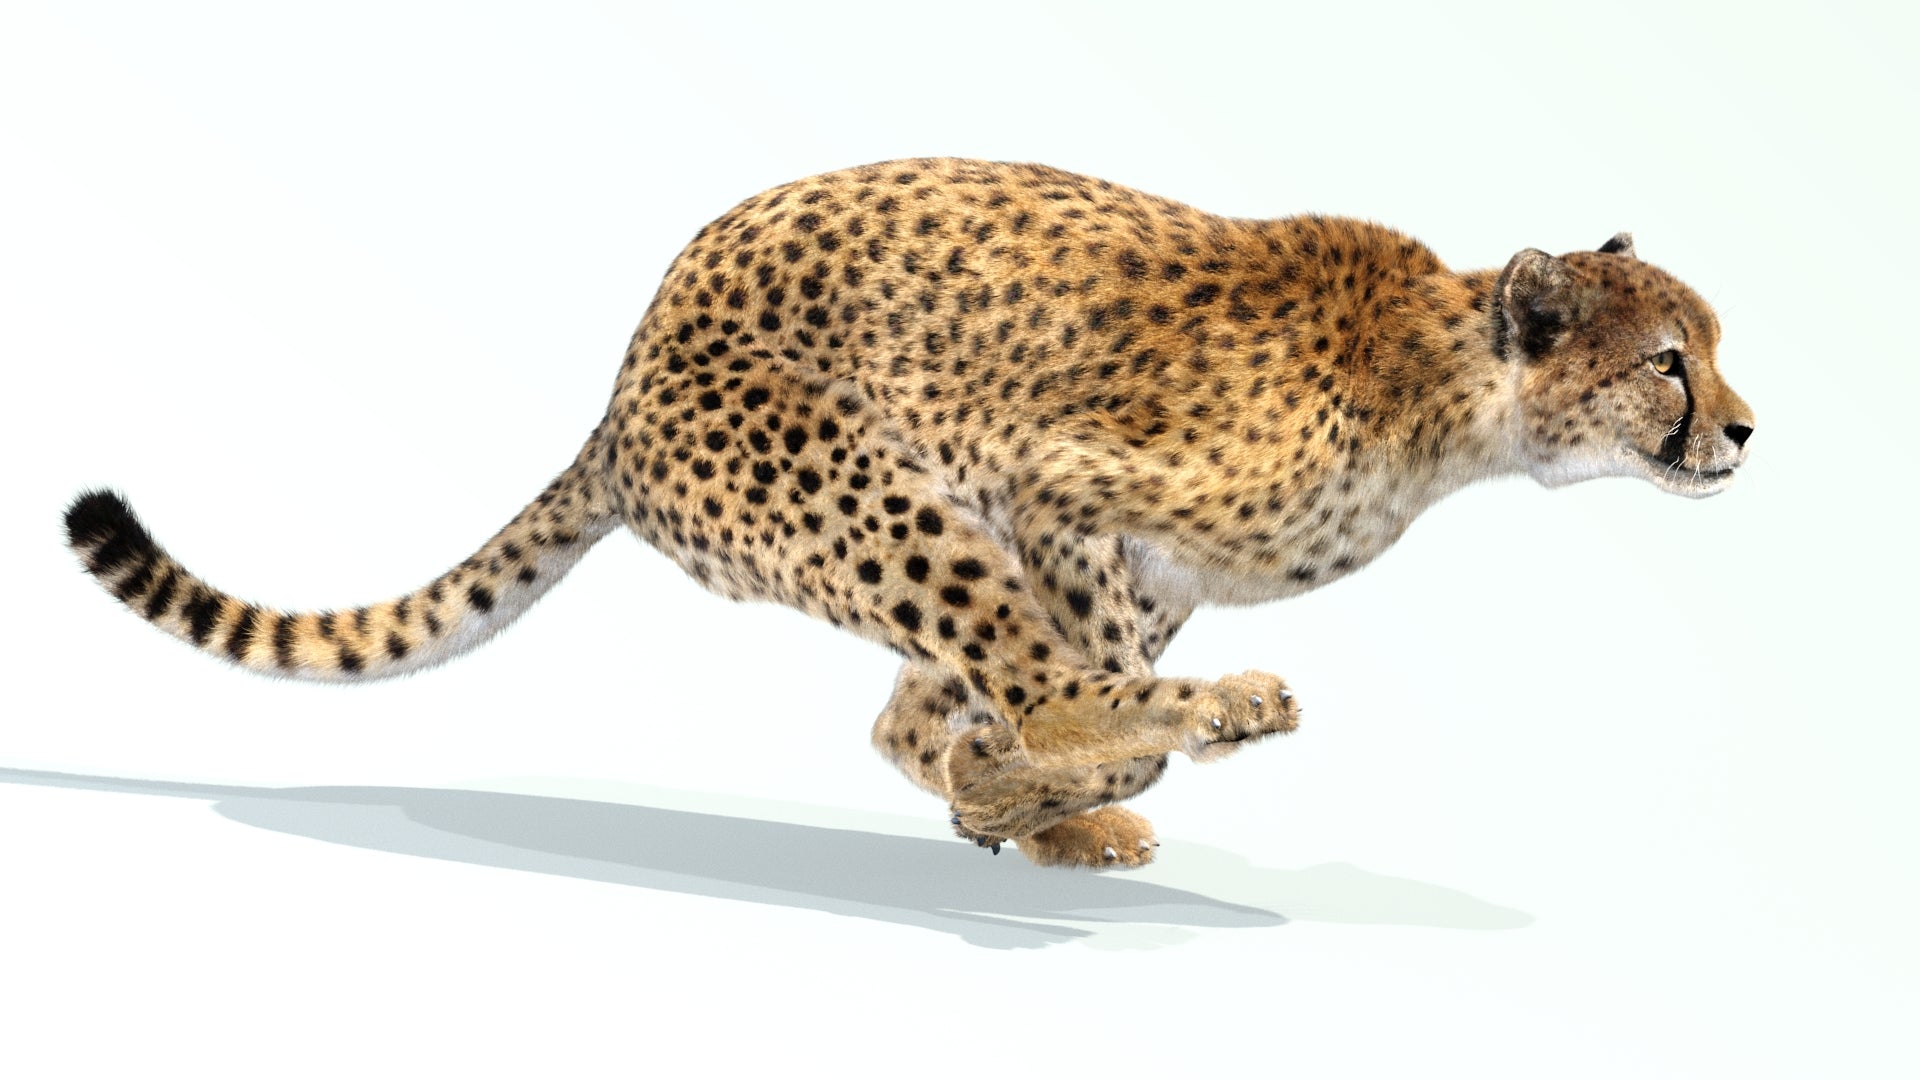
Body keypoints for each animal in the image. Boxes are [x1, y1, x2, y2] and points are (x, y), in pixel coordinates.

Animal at [63, 158, 1755, 869]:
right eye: (1666, 361)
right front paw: (1070, 774)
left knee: (910, 716)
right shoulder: (1056, 482)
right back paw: (1163, 742)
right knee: (1033, 688)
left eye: (1712, 345)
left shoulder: (1138, 554)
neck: (1456, 398)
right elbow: (1075, 693)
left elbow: (996, 711)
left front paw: (1014, 802)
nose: (1745, 430)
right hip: (871, 492)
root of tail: (626, 379)